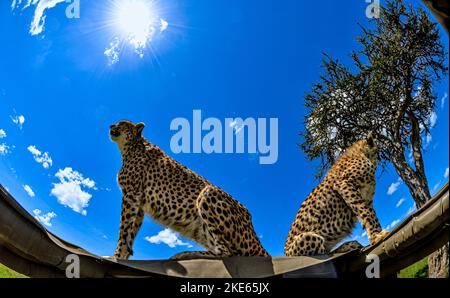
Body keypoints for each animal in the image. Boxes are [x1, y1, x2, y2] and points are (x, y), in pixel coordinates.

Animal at [110, 120, 268, 260]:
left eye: (122, 124)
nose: (111, 125)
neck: (131, 146)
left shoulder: (131, 194)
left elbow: (124, 229)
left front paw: (116, 256)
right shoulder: (139, 202)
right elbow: (131, 231)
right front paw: (123, 256)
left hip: (208, 192)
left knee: (227, 252)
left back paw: (186, 254)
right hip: (202, 231)